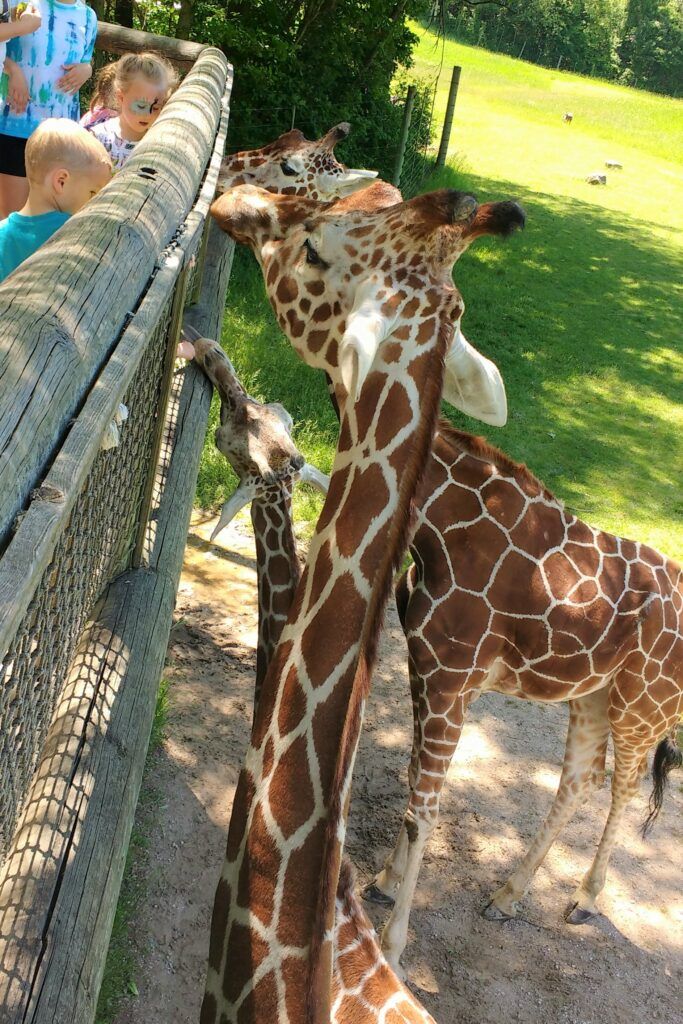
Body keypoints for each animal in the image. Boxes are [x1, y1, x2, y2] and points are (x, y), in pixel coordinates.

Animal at [360, 419, 679, 962]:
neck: (441, 533)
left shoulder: (450, 680)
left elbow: (425, 808)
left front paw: (393, 946)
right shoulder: (426, 670)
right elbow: (414, 783)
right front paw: (383, 880)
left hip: (642, 706)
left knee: (625, 784)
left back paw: (584, 900)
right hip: (594, 695)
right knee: (581, 779)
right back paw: (506, 897)